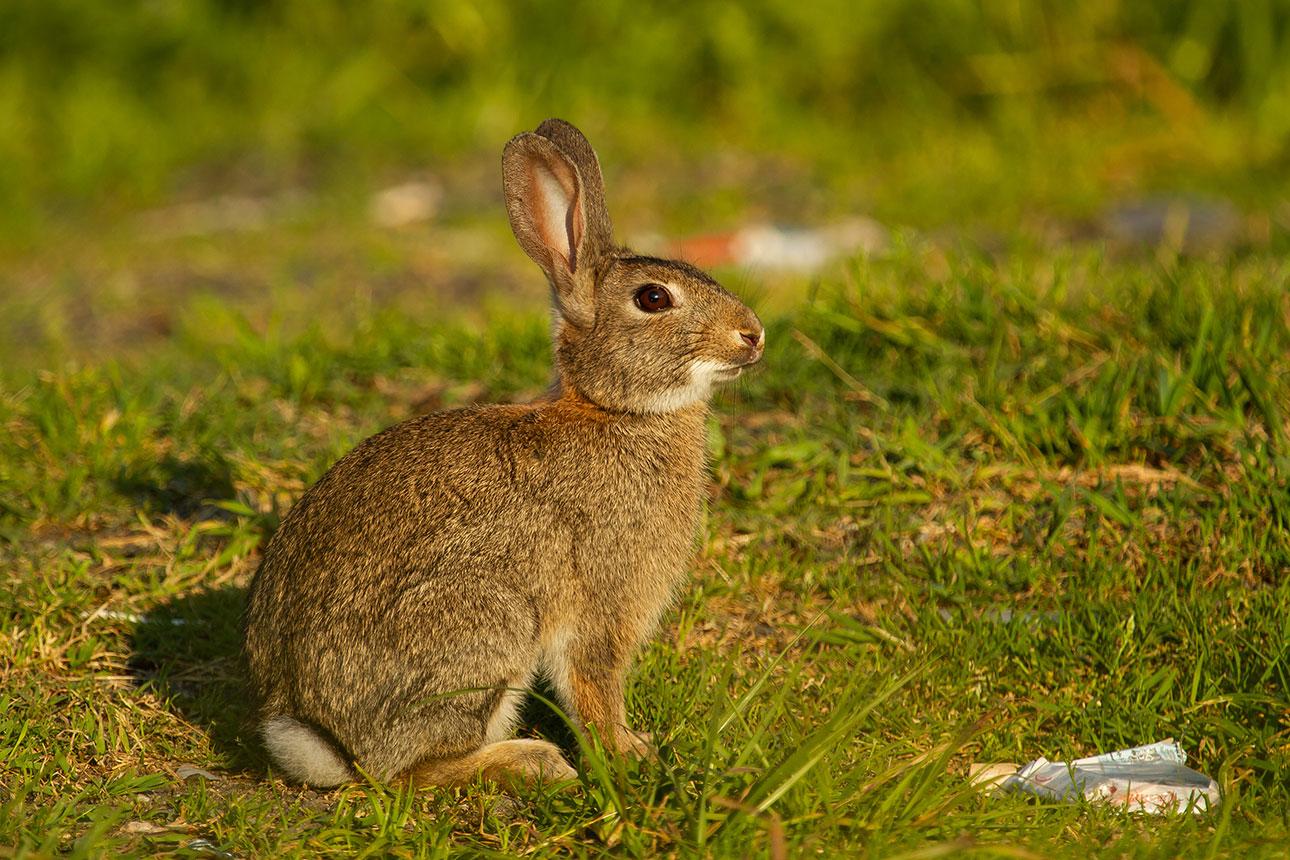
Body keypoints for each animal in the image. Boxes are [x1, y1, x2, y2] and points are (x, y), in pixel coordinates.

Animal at [242, 117, 763, 789]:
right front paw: (628, 753)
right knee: (408, 772)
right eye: (653, 299)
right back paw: (534, 761)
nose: (753, 335)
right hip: (487, 628)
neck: (614, 409)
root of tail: (320, 736)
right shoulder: (601, 601)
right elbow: (594, 686)